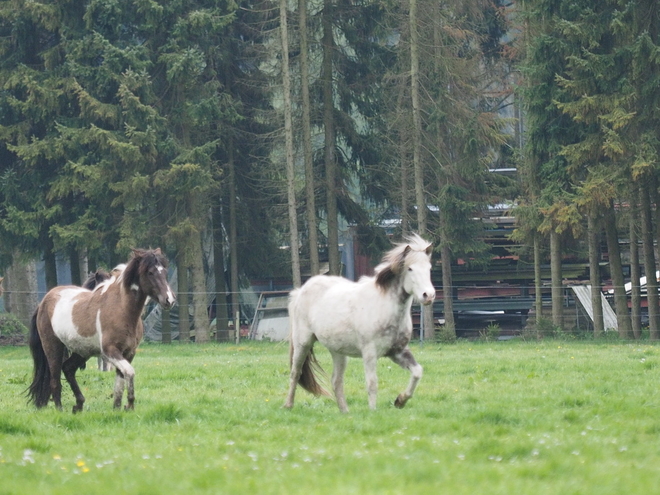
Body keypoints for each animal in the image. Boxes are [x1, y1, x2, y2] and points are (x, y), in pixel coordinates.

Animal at [26, 248, 175, 414]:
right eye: (150, 272)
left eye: (164, 272)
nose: (169, 300)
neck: (122, 310)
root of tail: (44, 301)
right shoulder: (110, 351)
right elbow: (130, 372)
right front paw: (129, 404)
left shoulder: (128, 353)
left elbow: (120, 380)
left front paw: (117, 408)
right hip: (53, 347)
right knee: (55, 380)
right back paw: (60, 410)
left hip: (82, 350)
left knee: (68, 369)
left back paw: (79, 404)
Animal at [282, 234, 434, 412]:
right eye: (410, 269)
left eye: (429, 268)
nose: (428, 295)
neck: (385, 307)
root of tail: (300, 291)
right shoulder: (369, 353)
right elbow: (372, 383)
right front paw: (373, 412)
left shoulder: (398, 352)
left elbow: (417, 372)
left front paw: (400, 400)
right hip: (303, 343)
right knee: (295, 372)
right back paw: (288, 405)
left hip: (338, 351)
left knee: (336, 380)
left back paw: (345, 412)